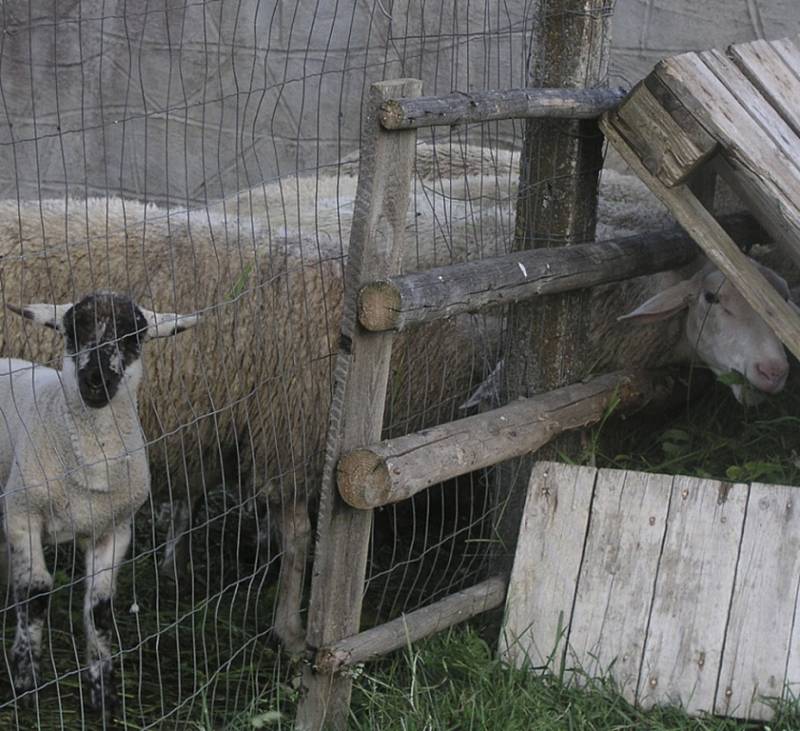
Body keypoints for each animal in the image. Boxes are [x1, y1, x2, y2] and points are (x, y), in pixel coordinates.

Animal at [0, 294, 198, 716]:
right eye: (73, 330)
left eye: (134, 335)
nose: (96, 380)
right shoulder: (23, 515)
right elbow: (36, 592)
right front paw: (25, 680)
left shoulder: (115, 530)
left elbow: (100, 607)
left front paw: (103, 692)